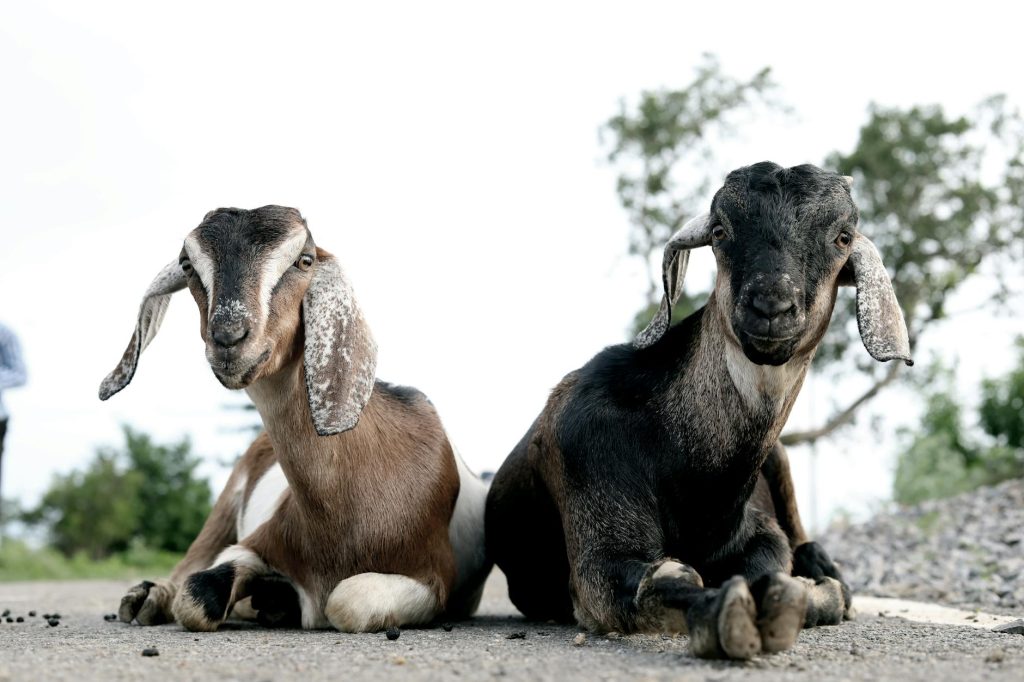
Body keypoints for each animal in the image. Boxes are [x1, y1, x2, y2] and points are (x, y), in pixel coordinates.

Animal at [99, 206, 490, 632]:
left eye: (304, 260)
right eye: (187, 265)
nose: (229, 337)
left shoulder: (436, 576)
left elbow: (348, 600)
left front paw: (276, 597)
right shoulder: (256, 541)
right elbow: (196, 594)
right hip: (224, 505)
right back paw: (148, 598)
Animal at [485, 162, 912, 659]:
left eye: (843, 236)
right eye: (721, 231)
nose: (771, 306)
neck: (702, 486)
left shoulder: (758, 531)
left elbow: (772, 563)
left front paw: (804, 594)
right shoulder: (594, 506)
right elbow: (657, 579)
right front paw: (728, 616)